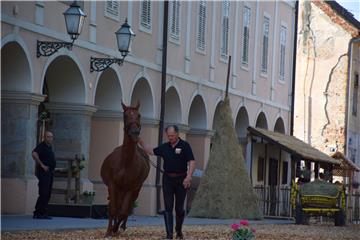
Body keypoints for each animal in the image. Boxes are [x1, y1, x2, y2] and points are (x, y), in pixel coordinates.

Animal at [100, 101, 150, 236]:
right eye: (125, 115)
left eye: (139, 115)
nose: (134, 132)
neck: (125, 163)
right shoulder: (112, 185)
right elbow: (113, 209)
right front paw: (109, 231)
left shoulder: (131, 188)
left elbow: (123, 211)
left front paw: (116, 228)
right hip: (117, 190)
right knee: (114, 206)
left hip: (135, 190)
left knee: (126, 207)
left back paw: (121, 227)